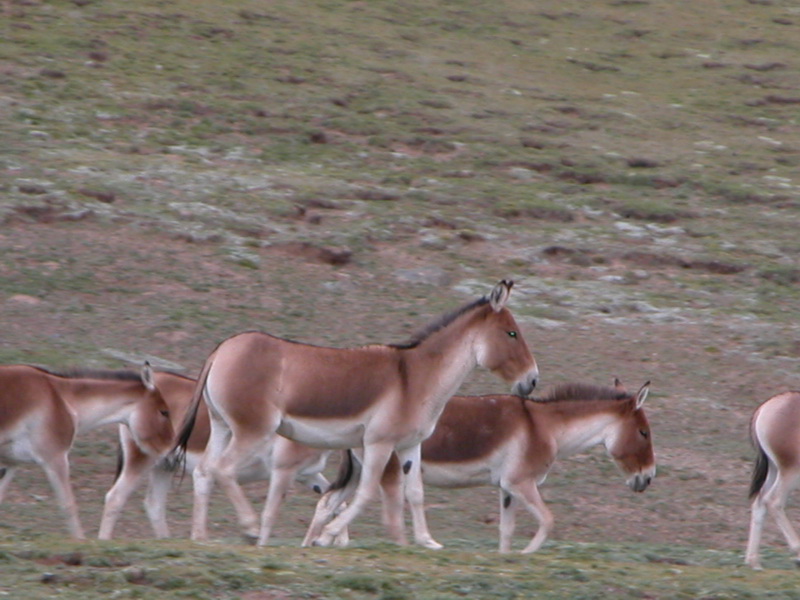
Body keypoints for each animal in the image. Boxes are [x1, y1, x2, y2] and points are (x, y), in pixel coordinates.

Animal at [0, 364, 173, 536]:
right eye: (164, 411)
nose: (170, 452)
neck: (61, 399)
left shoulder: (11, 462)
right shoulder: (55, 458)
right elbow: (69, 506)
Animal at [174, 278, 536, 548]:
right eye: (512, 333)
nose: (532, 380)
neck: (415, 376)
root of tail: (223, 349)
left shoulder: (409, 445)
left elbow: (415, 492)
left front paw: (427, 541)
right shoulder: (377, 444)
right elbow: (366, 493)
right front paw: (327, 536)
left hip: (222, 427)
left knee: (204, 472)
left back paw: (200, 538)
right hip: (253, 430)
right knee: (222, 469)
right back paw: (249, 528)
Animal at [308, 380, 656, 552]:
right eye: (644, 432)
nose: (647, 478)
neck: (543, 426)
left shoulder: (506, 489)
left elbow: (506, 531)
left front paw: (506, 557)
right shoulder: (521, 483)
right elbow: (547, 521)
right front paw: (527, 555)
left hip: (359, 469)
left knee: (327, 501)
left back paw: (313, 542)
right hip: (388, 468)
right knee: (386, 512)